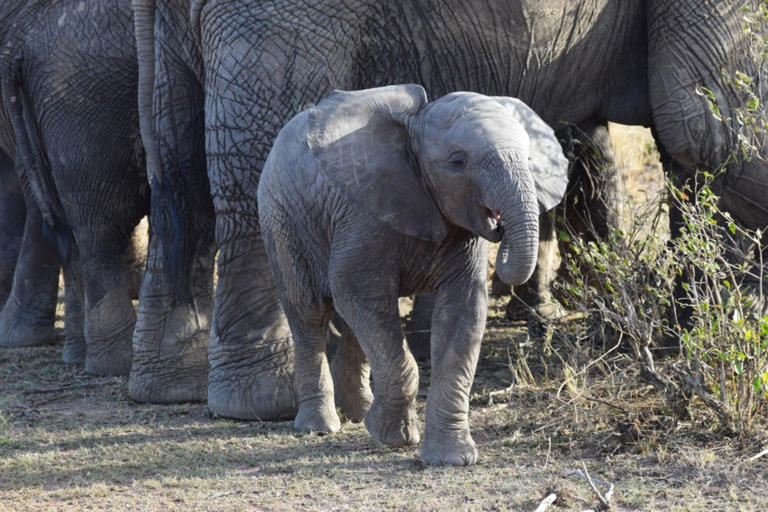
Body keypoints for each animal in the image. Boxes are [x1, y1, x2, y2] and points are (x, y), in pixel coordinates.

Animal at [132, 0, 768, 419]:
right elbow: (709, 121)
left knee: (176, 168)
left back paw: (170, 387)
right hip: (285, 20)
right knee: (251, 156)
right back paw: (266, 403)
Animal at [258, 84, 570, 465]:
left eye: (528, 159)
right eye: (457, 162)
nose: (499, 226)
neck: (415, 125)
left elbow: (462, 312)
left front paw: (451, 458)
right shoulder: (365, 213)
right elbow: (355, 290)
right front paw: (395, 438)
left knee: (353, 323)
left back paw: (359, 414)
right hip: (280, 215)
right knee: (309, 313)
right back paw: (321, 427)